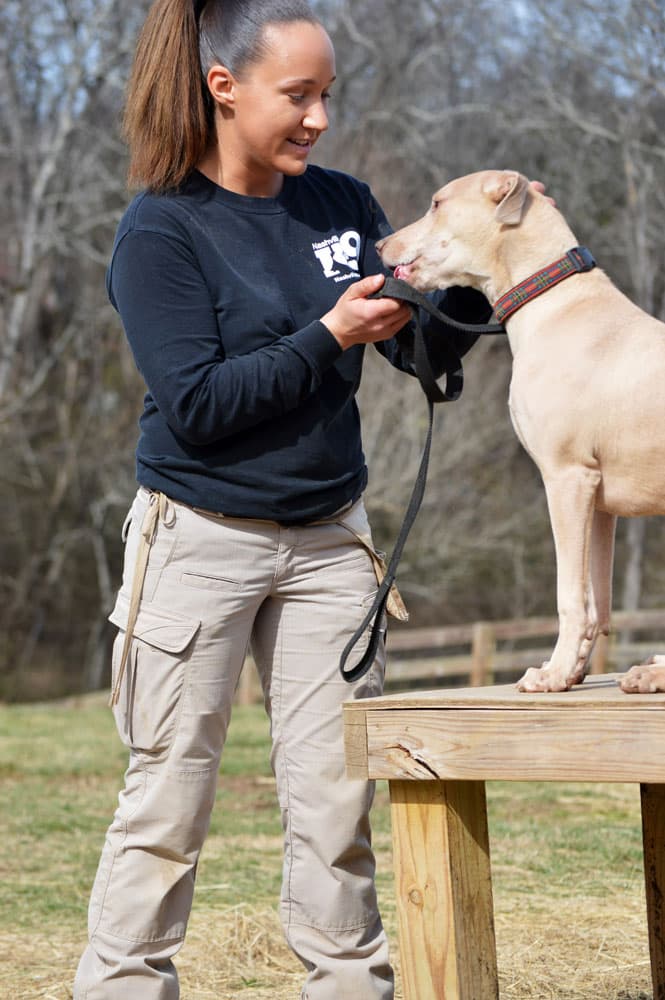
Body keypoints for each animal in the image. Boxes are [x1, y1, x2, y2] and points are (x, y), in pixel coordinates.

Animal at [376, 169, 665, 694]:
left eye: (436, 203)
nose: (380, 243)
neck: (553, 300)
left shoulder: (567, 478)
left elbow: (570, 594)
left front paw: (551, 675)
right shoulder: (600, 502)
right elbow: (597, 599)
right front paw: (571, 670)